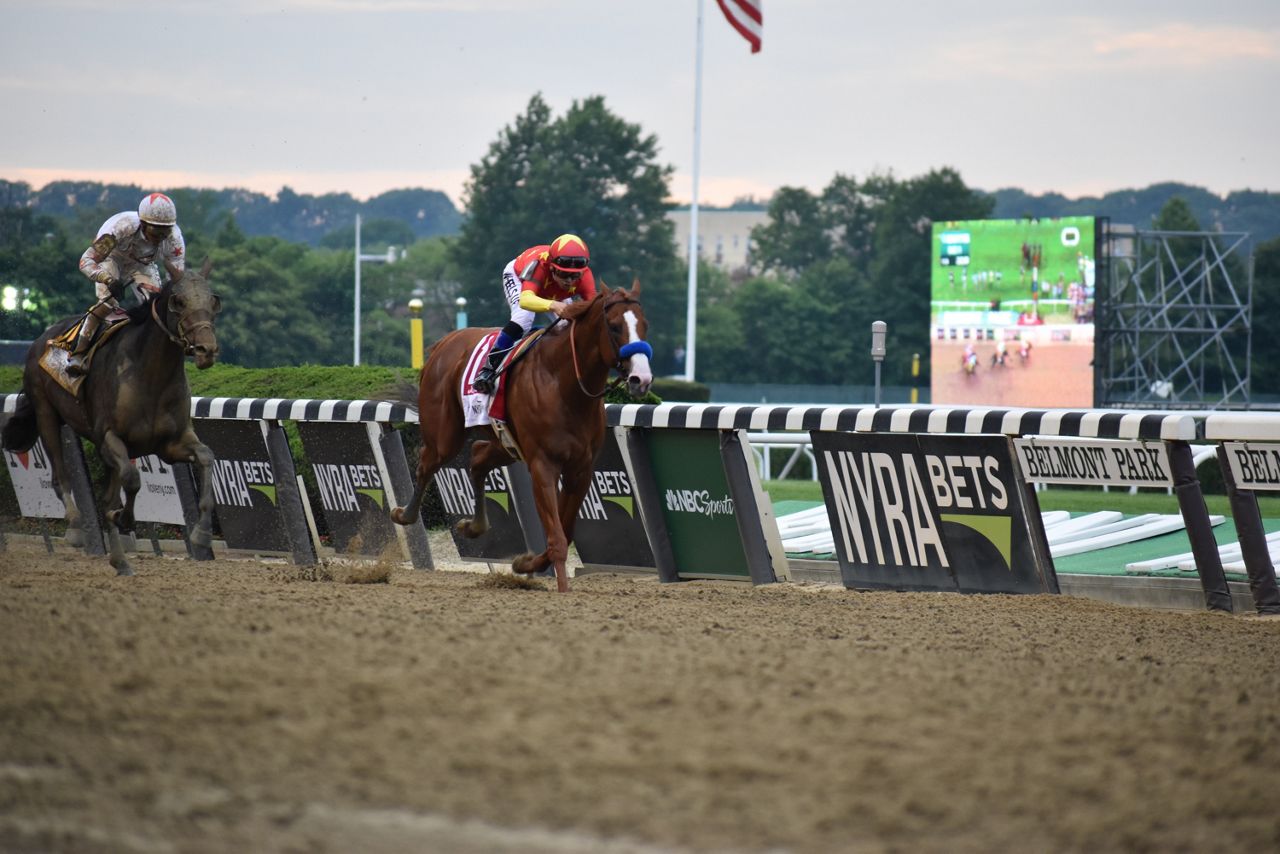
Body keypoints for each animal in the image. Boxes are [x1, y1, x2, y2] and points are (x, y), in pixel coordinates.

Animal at [1, 261, 222, 578]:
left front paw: (202, 534)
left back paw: (121, 561)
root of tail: (42, 338)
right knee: (60, 475)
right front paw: (124, 518)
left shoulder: (171, 444)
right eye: (178, 302)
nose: (207, 349)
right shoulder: (108, 439)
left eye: (214, 301)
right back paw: (76, 527)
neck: (151, 376)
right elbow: (131, 480)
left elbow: (205, 457)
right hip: (46, 412)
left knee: (106, 495)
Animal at [386, 284, 650, 591]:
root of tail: (446, 341)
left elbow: (565, 530)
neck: (565, 386)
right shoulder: (543, 465)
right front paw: (562, 589)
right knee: (427, 463)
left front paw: (525, 563)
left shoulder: (581, 469)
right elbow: (557, 537)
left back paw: (474, 526)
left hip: (506, 444)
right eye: (615, 326)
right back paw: (404, 514)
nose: (641, 378)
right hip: (444, 435)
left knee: (477, 457)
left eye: (644, 325)